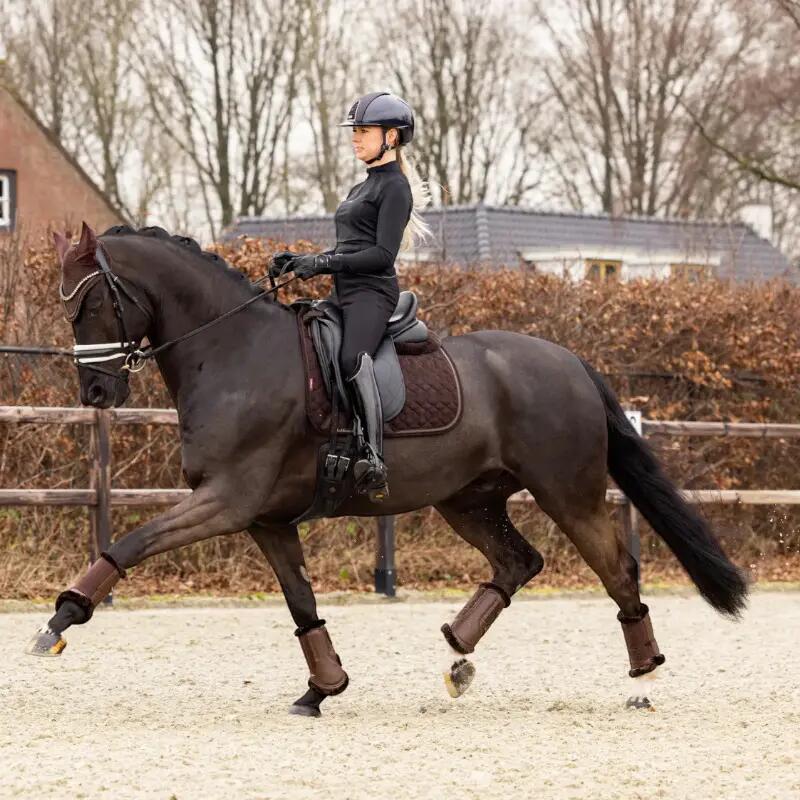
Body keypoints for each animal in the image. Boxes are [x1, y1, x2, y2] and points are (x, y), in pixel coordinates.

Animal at [30, 221, 747, 716]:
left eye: (89, 304)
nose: (96, 393)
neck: (233, 352)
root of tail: (569, 360)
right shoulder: (265, 519)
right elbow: (302, 604)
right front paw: (323, 688)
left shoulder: (228, 500)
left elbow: (129, 543)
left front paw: (59, 621)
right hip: (468, 499)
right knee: (519, 562)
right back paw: (457, 656)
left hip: (567, 491)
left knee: (618, 569)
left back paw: (645, 672)